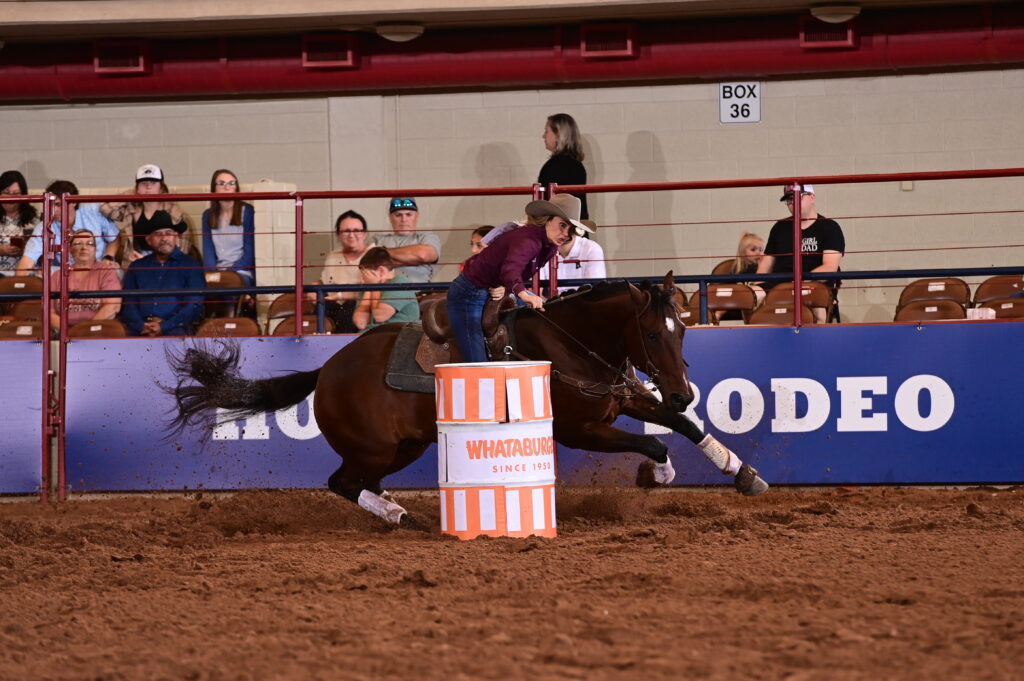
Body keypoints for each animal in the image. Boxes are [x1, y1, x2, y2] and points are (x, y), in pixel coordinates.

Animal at [167, 274, 765, 522]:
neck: (569, 344)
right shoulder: (582, 430)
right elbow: (657, 445)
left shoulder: (619, 401)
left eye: (682, 329)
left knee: (357, 483)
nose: (684, 389)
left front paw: (742, 473)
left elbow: (683, 427)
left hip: (403, 447)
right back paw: (403, 517)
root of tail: (327, 369)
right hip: (374, 448)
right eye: (652, 334)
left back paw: (397, 510)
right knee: (342, 483)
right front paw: (656, 476)